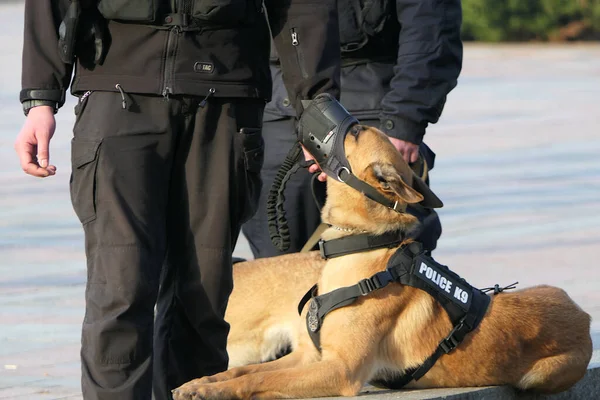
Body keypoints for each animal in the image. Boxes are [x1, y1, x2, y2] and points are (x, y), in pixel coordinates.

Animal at [171, 126, 592, 398]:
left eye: (356, 131)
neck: (360, 248)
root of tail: (585, 317)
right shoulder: (307, 355)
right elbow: (245, 370)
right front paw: (200, 383)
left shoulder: (338, 371)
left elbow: (256, 381)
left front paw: (217, 391)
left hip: (538, 376)